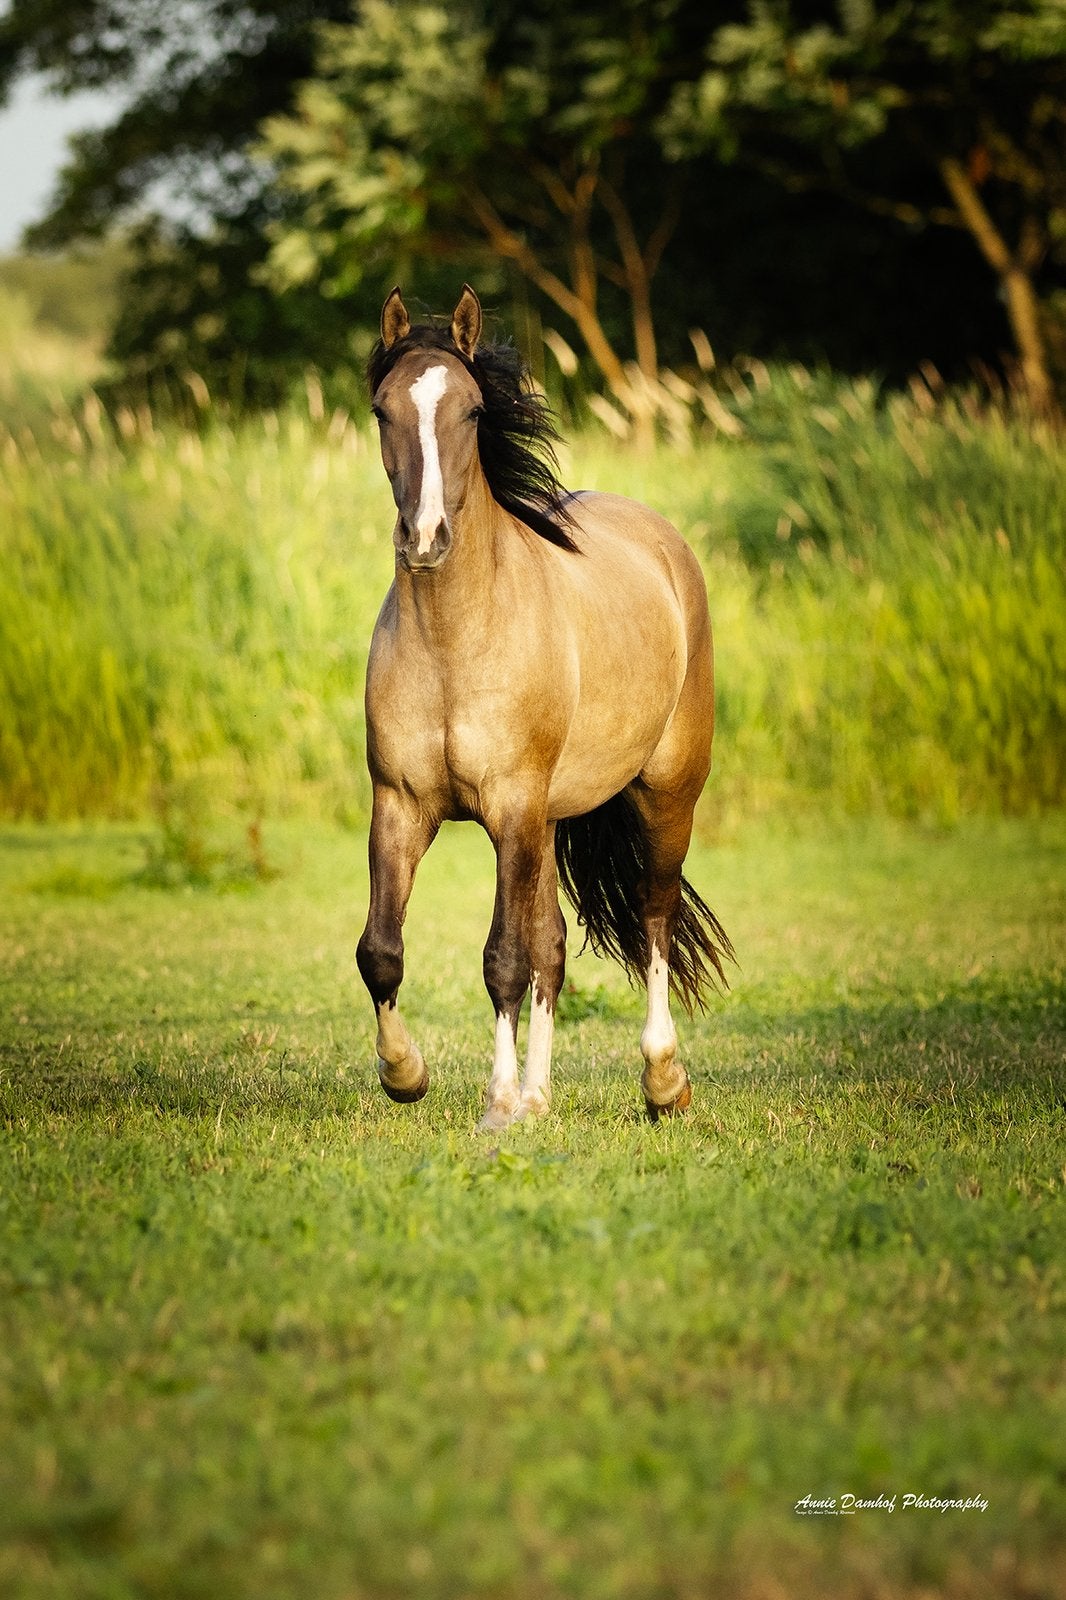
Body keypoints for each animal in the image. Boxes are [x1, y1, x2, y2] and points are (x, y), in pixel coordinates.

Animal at [355, 285, 733, 1130]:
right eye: (382, 409)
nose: (424, 538)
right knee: (554, 946)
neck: (454, 644)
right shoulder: (401, 807)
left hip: (664, 795)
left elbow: (503, 957)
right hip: (551, 821)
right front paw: (406, 1074)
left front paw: (496, 1105)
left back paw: (662, 1080)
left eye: (470, 410)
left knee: (653, 920)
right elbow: (382, 951)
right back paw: (540, 1095)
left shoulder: (511, 809)